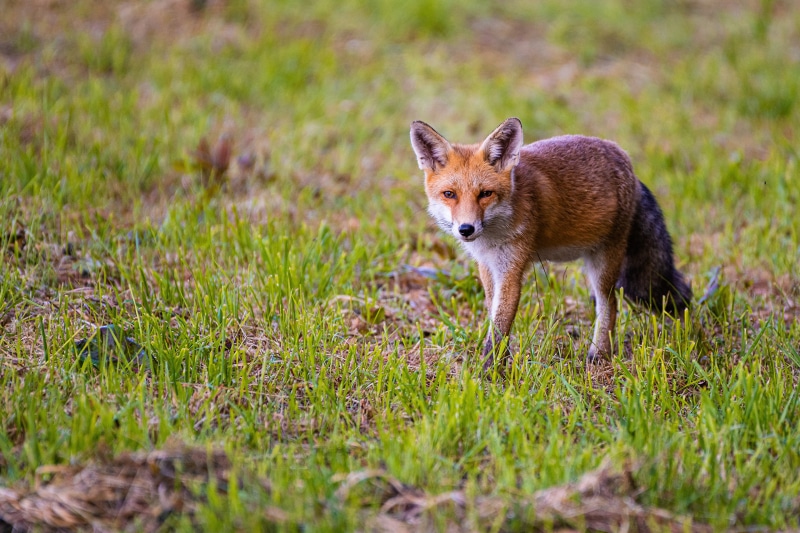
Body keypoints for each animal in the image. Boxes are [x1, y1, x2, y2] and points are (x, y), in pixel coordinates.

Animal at [410, 117, 692, 367]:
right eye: (449, 194)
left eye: (485, 194)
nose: (466, 229)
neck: (493, 237)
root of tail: (626, 161)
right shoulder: (488, 268)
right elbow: (493, 318)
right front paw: (500, 362)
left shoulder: (512, 269)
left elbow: (499, 328)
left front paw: (489, 373)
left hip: (603, 264)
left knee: (610, 305)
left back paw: (597, 356)